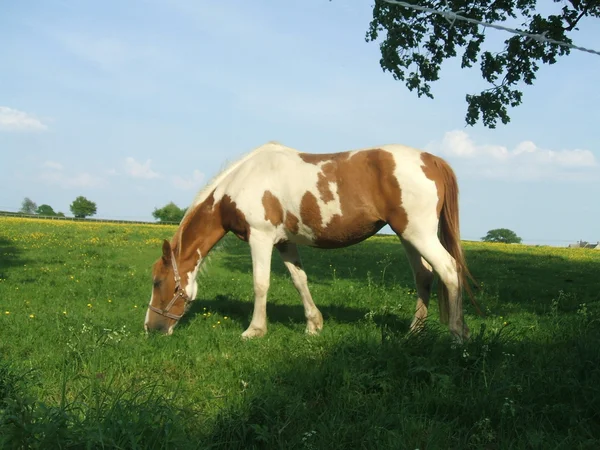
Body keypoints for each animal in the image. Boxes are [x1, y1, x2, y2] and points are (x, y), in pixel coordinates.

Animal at [143, 141, 476, 342]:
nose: (150, 328)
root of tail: (431, 159)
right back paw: (414, 331)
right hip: (407, 235)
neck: (241, 183)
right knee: (424, 276)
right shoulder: (283, 242)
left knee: (449, 271)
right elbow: (299, 280)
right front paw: (314, 325)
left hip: (419, 234)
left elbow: (260, 284)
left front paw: (254, 330)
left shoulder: (260, 238)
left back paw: (457, 335)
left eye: (158, 282)